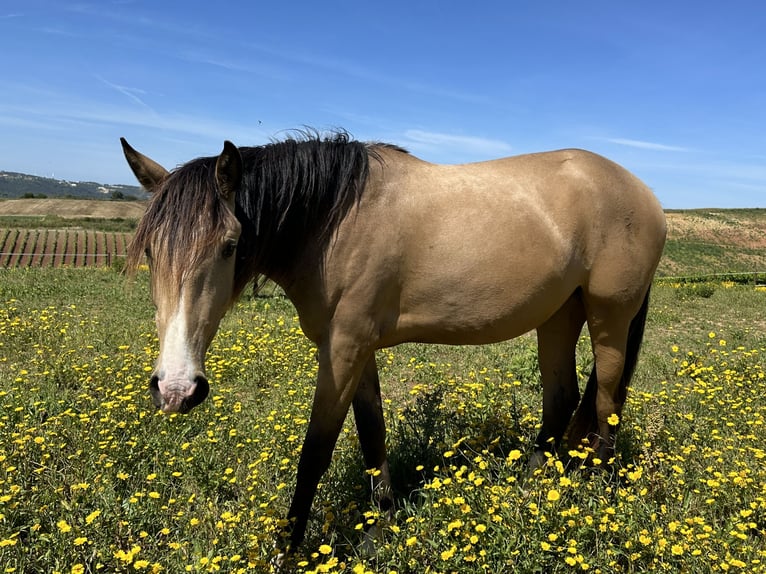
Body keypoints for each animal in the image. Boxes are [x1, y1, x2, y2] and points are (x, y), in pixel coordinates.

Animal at [120, 133, 664, 556]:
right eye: (150, 250)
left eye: (230, 246)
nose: (176, 388)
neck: (334, 222)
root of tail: (645, 194)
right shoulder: (357, 351)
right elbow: (372, 435)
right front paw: (379, 525)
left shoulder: (344, 348)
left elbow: (315, 452)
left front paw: (288, 549)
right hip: (558, 315)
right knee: (562, 400)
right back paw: (531, 489)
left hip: (610, 317)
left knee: (607, 402)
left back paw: (602, 498)